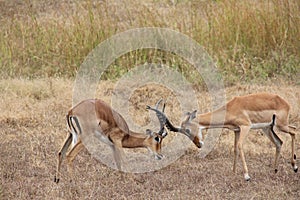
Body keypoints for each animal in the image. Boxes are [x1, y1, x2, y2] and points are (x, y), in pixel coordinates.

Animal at [150, 93, 298, 180]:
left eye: (187, 129)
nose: (198, 145)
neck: (231, 109)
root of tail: (284, 102)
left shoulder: (245, 127)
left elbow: (240, 146)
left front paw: (246, 176)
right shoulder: (236, 130)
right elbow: (235, 148)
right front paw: (233, 172)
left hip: (281, 125)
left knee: (294, 131)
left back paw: (295, 167)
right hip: (267, 128)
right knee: (279, 142)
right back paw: (275, 170)